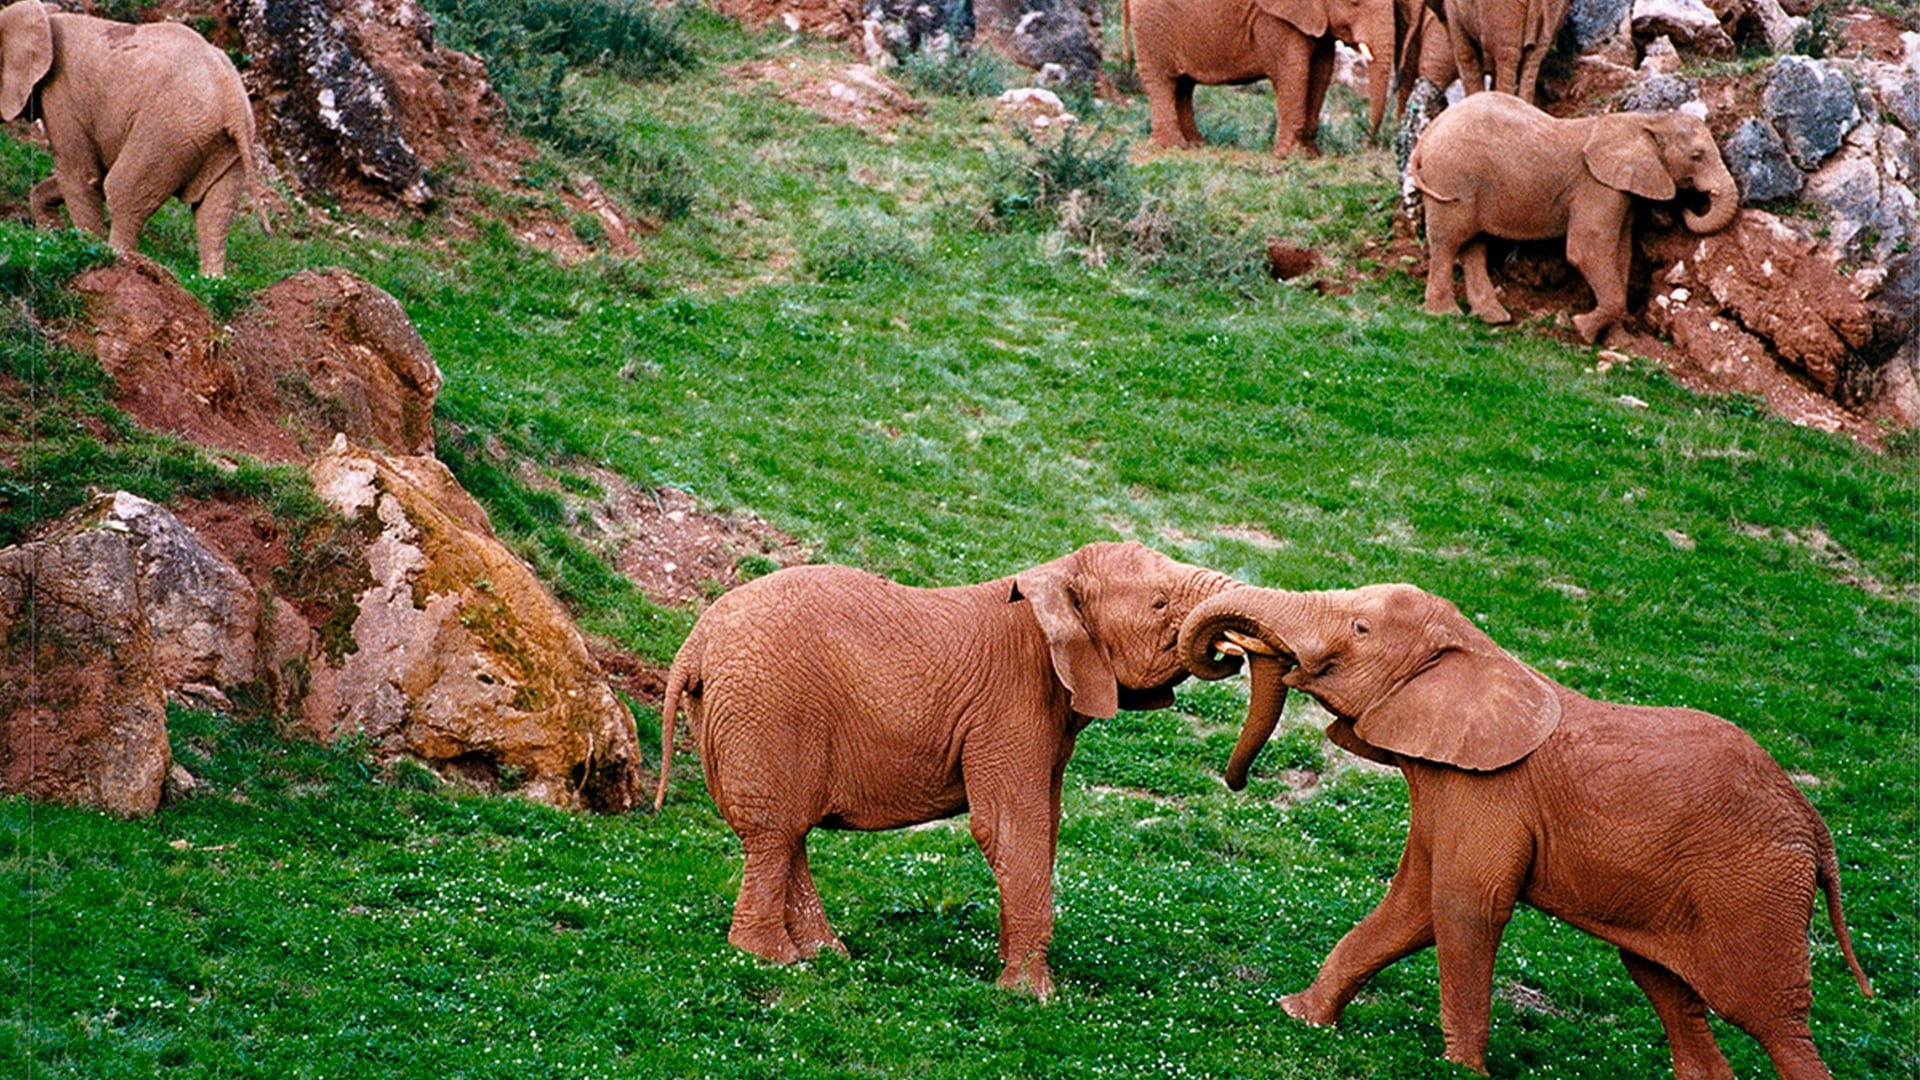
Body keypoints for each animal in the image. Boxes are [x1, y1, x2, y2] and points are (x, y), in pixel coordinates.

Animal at [0, 1, 264, 276]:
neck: (45, 17)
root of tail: (230, 95)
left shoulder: (61, 96)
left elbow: (79, 174)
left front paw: (83, 245)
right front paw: (50, 235)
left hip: (166, 132)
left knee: (122, 190)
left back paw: (117, 258)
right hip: (225, 142)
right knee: (214, 210)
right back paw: (211, 279)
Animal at [653, 541, 1237, 1000]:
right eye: (1160, 603)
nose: (1231, 650)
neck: (1053, 578)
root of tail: (691, 646)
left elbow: (1043, 827)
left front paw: (1016, 974)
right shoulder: (1009, 705)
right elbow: (1009, 829)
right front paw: (1031, 996)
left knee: (786, 831)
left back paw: (826, 954)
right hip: (766, 710)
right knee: (775, 832)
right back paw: (776, 959)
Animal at [1125, 0, 1401, 158]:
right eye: (1354, 2)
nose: (1366, 144)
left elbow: (1321, 72)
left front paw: (1311, 154)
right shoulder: (1275, 19)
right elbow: (1293, 72)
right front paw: (1289, 156)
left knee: (1183, 85)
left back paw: (1196, 145)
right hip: (1152, 26)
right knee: (1163, 82)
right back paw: (1172, 148)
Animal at [1179, 583, 1874, 1078]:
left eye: (1360, 628)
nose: (1236, 781)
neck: (1478, 649)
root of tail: (1817, 828)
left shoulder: (1492, 793)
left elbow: (1464, 907)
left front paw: (1463, 1070)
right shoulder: (1447, 787)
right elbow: (1412, 907)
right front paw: (1300, 1016)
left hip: (1754, 891)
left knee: (1772, 1018)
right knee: (1670, 991)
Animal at [1409, 92, 1739, 343]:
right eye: (1697, 156)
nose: (1688, 209)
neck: (1643, 121)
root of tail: (1427, 134)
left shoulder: (1622, 190)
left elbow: (1620, 255)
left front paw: (1618, 342)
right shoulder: (1597, 187)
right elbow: (1587, 250)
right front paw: (1582, 330)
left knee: (1473, 244)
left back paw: (1495, 317)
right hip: (1451, 176)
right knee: (1448, 240)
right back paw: (1446, 314)